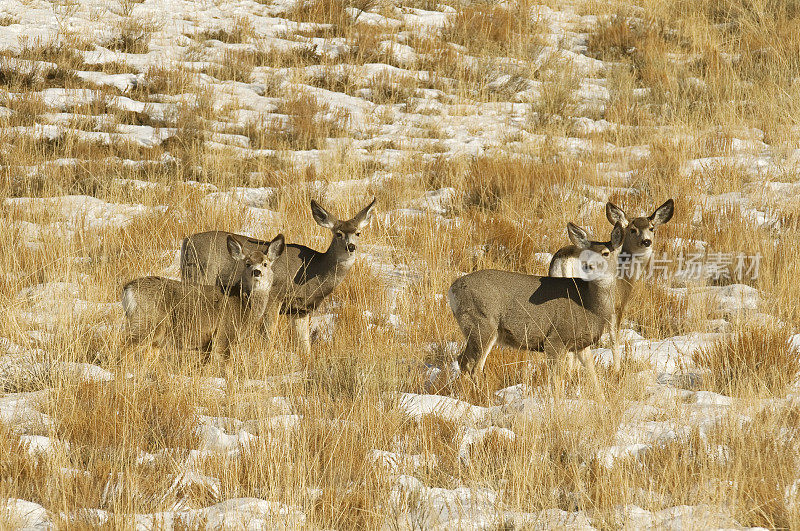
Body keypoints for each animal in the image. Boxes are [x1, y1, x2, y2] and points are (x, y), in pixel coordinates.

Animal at [123, 234, 286, 362]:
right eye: (247, 263)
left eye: (265, 263)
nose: (256, 272)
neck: (243, 305)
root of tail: (128, 289)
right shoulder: (223, 336)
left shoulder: (207, 344)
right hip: (146, 323)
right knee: (125, 348)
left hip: (154, 335)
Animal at [180, 197, 376, 356]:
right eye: (338, 233)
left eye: (358, 233)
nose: (351, 247)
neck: (313, 273)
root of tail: (186, 242)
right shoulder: (274, 296)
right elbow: (268, 335)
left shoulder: (299, 310)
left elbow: (304, 345)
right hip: (200, 275)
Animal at [446, 220, 620, 400]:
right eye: (585, 254)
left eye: (606, 253)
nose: (588, 266)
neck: (589, 305)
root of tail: (452, 290)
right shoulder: (555, 339)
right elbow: (556, 381)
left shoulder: (580, 344)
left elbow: (592, 375)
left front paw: (602, 400)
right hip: (483, 325)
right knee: (474, 366)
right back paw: (485, 398)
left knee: (463, 361)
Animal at [552, 197, 676, 372]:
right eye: (632, 230)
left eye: (652, 228)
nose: (646, 241)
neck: (627, 274)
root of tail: (565, 260)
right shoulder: (617, 304)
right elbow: (614, 339)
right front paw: (617, 369)